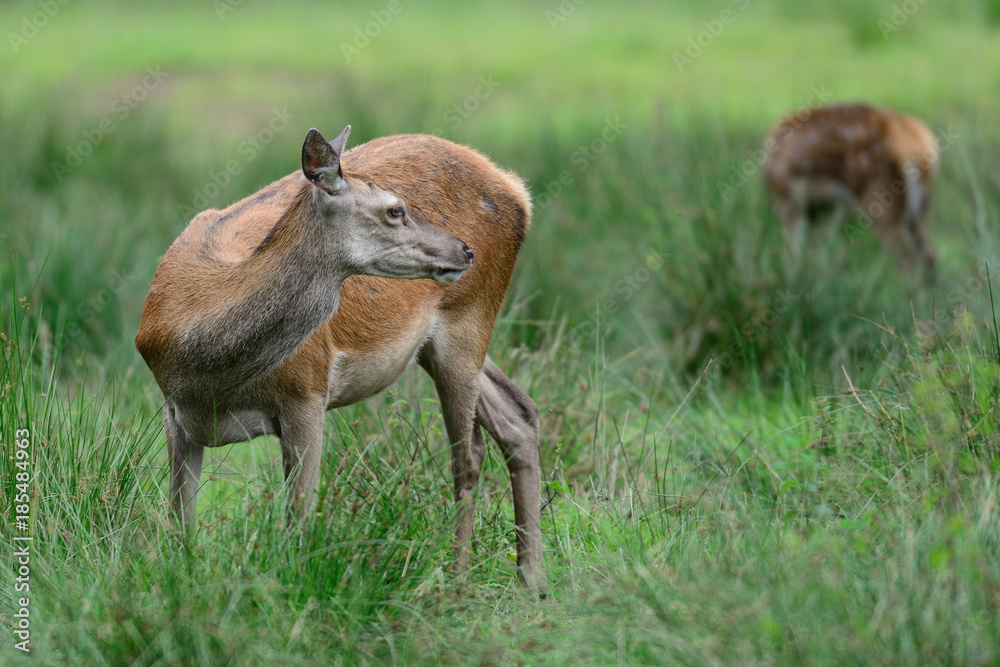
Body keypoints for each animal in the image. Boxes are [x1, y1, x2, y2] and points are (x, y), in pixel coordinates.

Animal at [134, 126, 548, 596]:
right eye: (395, 209)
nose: (465, 250)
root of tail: (517, 191)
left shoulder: (307, 391)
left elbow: (298, 514)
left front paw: (293, 585)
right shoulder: (174, 411)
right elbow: (180, 523)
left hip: (468, 318)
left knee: (469, 454)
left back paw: (458, 582)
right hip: (445, 342)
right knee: (518, 415)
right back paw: (532, 581)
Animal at [760, 102, 940, 280]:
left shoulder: (788, 199)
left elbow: (793, 249)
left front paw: (794, 275)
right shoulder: (820, 208)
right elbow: (814, 246)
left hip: (881, 198)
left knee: (909, 261)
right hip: (920, 208)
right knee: (930, 258)